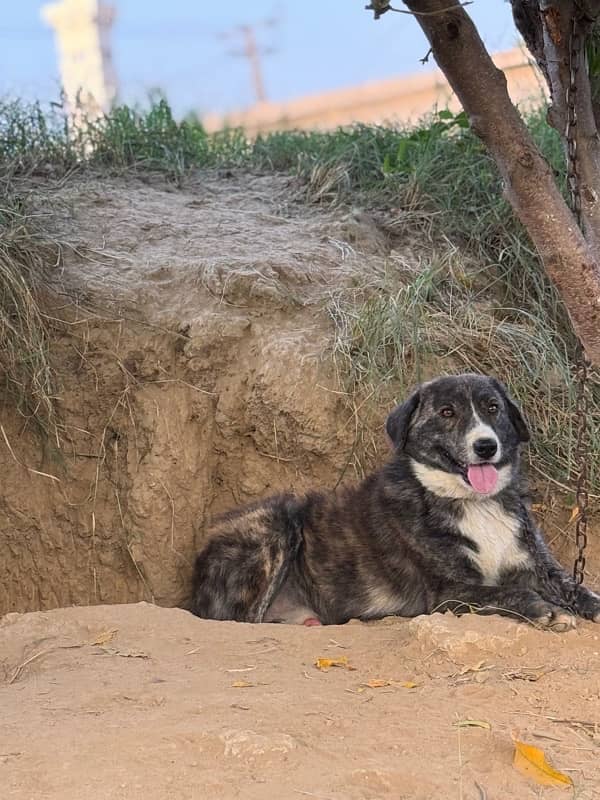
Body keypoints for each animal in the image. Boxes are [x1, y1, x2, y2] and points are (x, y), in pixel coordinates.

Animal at [189, 376, 600, 632]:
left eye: (493, 408)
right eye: (447, 412)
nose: (486, 446)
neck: (474, 503)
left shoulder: (540, 567)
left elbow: (580, 589)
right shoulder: (450, 593)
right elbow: (513, 592)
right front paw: (548, 611)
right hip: (277, 521)